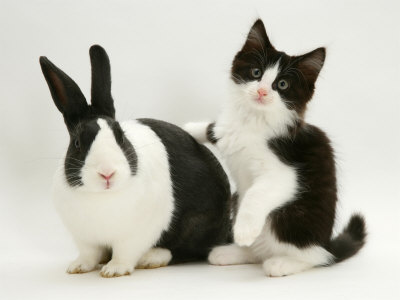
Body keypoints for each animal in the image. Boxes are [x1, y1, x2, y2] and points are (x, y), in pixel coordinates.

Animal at [39, 45, 231, 278]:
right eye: (77, 143)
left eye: (121, 137)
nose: (107, 173)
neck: (102, 196)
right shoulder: (84, 238)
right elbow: (88, 254)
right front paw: (78, 267)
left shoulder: (135, 235)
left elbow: (125, 252)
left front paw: (114, 270)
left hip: (198, 221)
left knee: (189, 250)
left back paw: (151, 258)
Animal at [184, 19, 366, 276]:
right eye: (256, 73)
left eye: (282, 84)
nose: (262, 91)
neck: (252, 120)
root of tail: (326, 244)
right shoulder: (227, 129)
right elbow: (215, 128)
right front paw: (189, 128)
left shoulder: (284, 171)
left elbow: (256, 194)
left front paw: (244, 230)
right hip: (236, 200)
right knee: (257, 252)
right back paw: (232, 252)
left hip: (292, 219)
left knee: (316, 257)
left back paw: (281, 263)